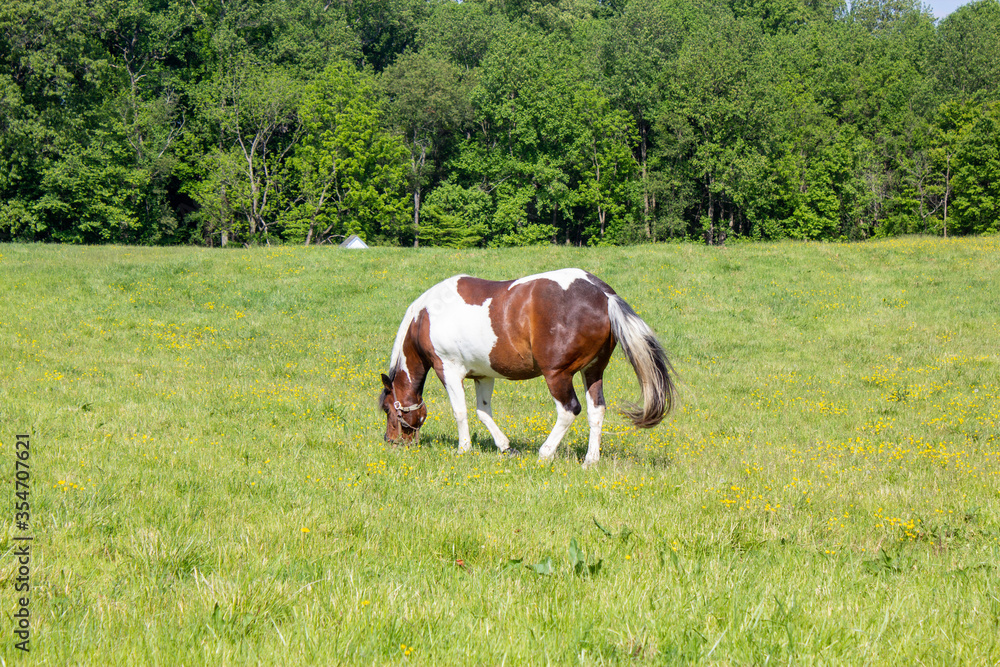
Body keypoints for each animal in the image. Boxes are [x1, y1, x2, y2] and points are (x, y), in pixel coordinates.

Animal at [378, 268, 676, 466]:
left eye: (388, 409)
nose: (391, 441)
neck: (425, 317)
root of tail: (603, 294)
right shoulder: (483, 376)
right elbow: (483, 412)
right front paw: (505, 447)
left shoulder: (449, 371)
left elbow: (460, 411)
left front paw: (463, 448)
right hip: (593, 371)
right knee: (596, 410)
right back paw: (590, 460)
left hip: (557, 375)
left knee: (569, 410)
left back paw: (545, 453)